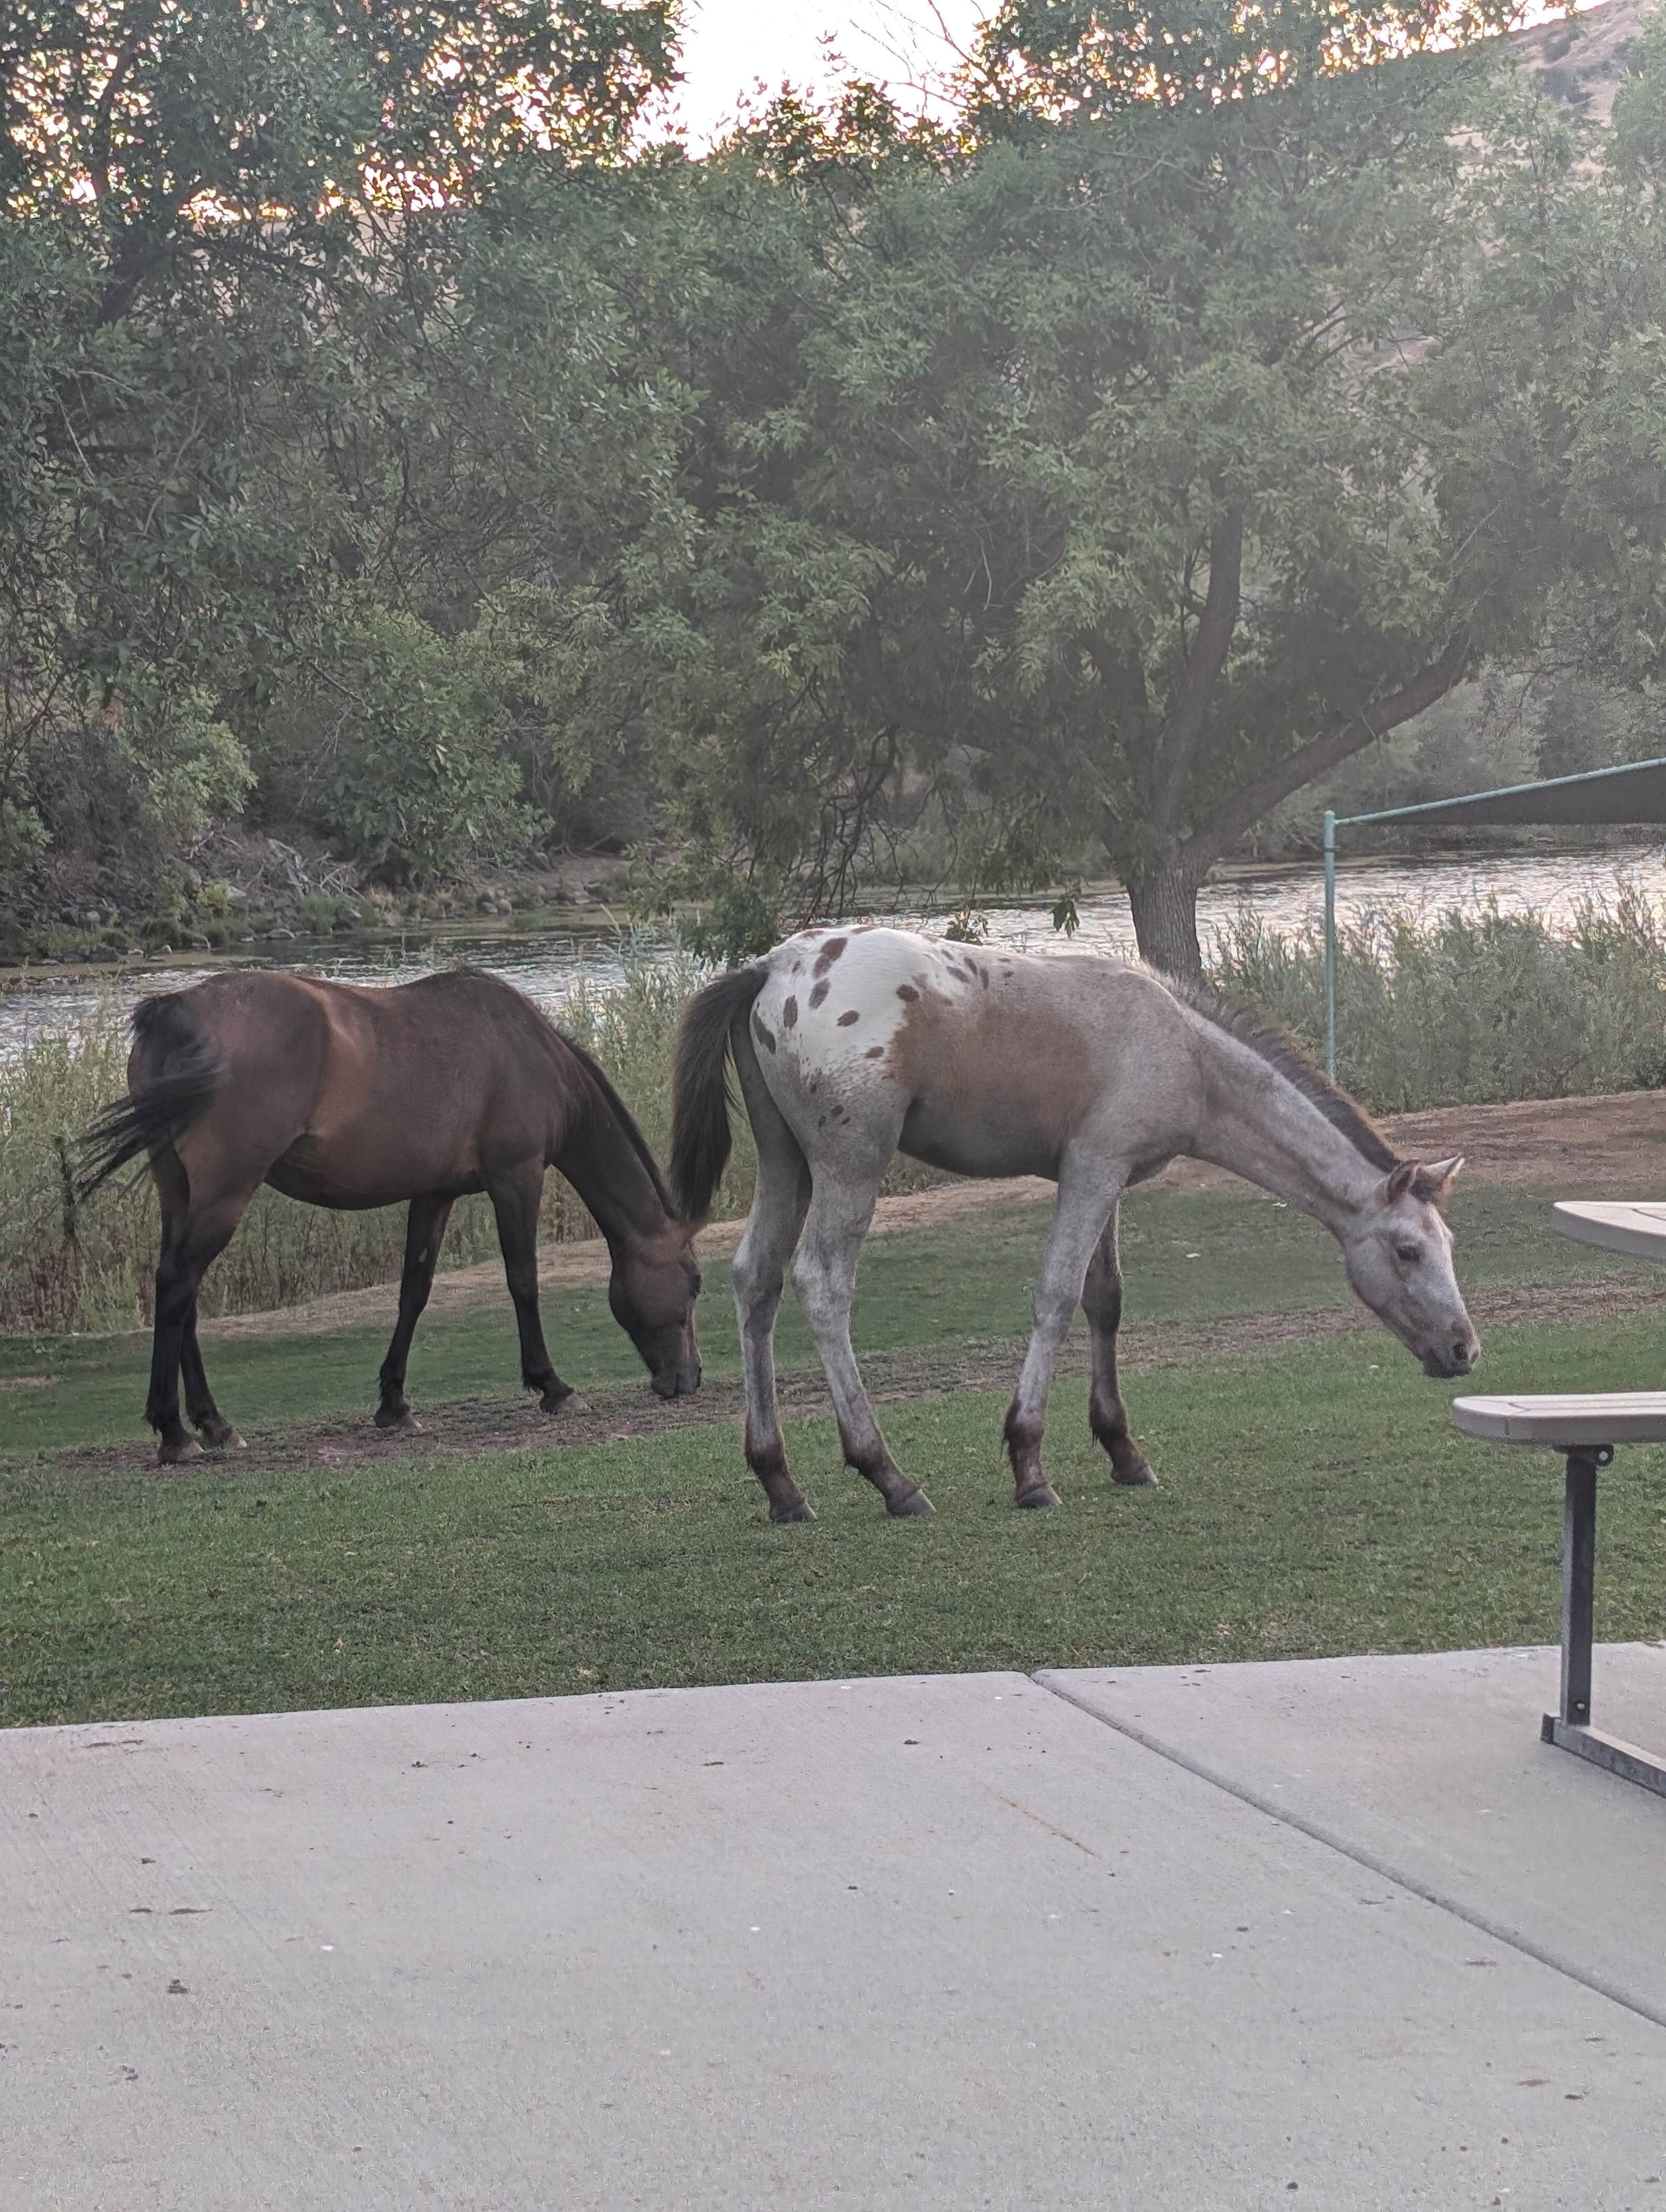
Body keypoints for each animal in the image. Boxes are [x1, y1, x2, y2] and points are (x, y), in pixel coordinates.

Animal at [81, 968, 702, 1465]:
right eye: (695, 1283)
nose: (690, 1379)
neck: (528, 1051)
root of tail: (180, 1009)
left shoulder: (434, 1193)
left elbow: (414, 1292)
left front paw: (394, 1404)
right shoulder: (517, 1178)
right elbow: (524, 1281)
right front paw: (553, 1386)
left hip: (179, 1191)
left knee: (180, 1295)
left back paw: (213, 1424)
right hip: (226, 1192)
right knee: (177, 1284)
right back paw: (174, 1432)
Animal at [670, 925, 1477, 1523]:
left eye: (1449, 1245)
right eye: (1408, 1251)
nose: (1465, 1349)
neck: (1184, 1048)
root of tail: (773, 967)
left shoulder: (1105, 1176)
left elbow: (1105, 1300)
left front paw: (1123, 1452)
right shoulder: (1092, 1168)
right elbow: (1056, 1298)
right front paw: (1029, 1465)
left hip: (787, 1163)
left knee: (756, 1281)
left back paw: (780, 1483)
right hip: (850, 1166)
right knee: (822, 1285)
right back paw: (888, 1476)